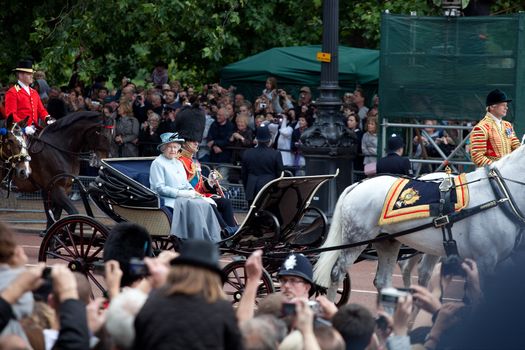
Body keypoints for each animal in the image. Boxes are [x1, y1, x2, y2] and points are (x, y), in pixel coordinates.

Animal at [312, 144, 524, 296]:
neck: (500, 193)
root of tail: (358, 183)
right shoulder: (485, 260)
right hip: (356, 240)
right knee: (336, 275)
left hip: (389, 242)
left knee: (385, 281)